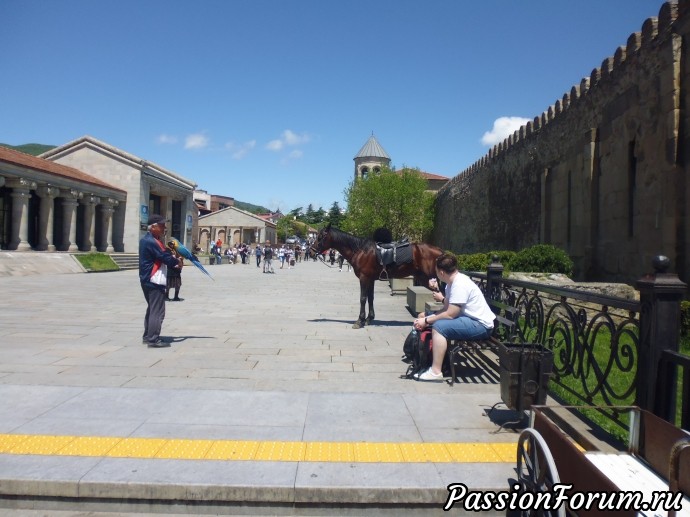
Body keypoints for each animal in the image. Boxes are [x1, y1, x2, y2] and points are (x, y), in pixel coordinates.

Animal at [316, 224, 444, 328]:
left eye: (320, 236)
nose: (312, 250)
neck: (361, 250)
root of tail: (439, 251)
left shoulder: (364, 278)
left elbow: (363, 298)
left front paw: (360, 320)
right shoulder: (370, 279)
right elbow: (370, 298)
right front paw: (369, 318)